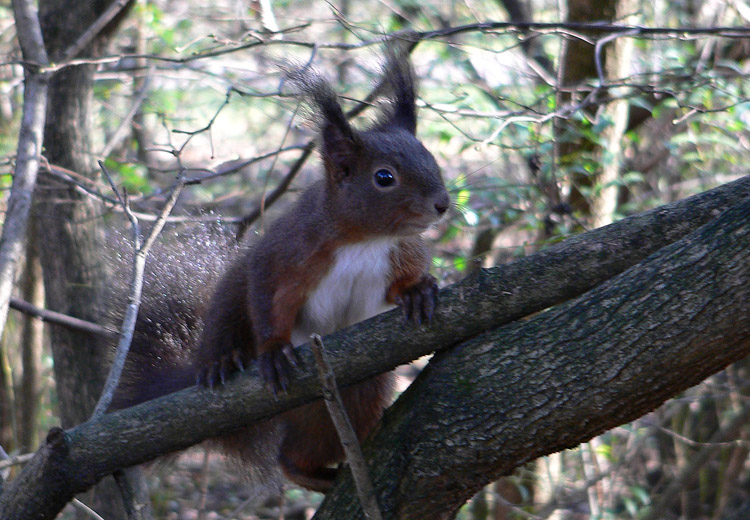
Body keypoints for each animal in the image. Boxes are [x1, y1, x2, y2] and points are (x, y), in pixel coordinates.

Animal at [111, 50, 450, 494]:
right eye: (384, 177)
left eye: (431, 159)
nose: (443, 204)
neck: (364, 240)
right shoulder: (286, 253)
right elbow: (266, 296)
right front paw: (273, 351)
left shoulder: (402, 251)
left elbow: (399, 285)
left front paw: (417, 291)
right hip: (230, 304)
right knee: (230, 318)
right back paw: (221, 361)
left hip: (361, 390)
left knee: (302, 450)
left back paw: (325, 470)